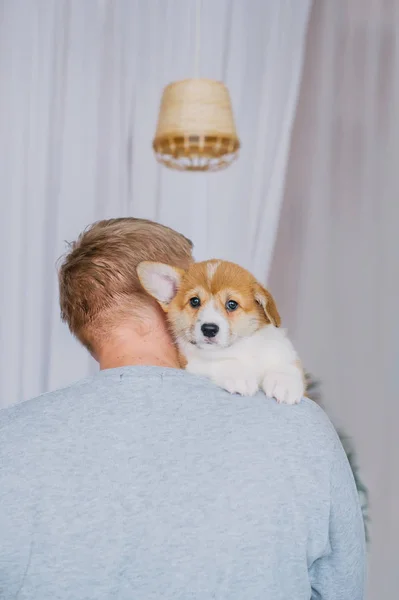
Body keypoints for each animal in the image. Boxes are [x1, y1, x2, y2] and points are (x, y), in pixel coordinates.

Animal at [138, 260, 306, 406]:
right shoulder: (193, 361)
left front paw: (285, 384)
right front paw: (240, 376)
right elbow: (224, 362)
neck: (239, 346)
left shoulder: (283, 352)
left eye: (232, 304)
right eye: (194, 301)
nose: (209, 329)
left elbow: (285, 366)